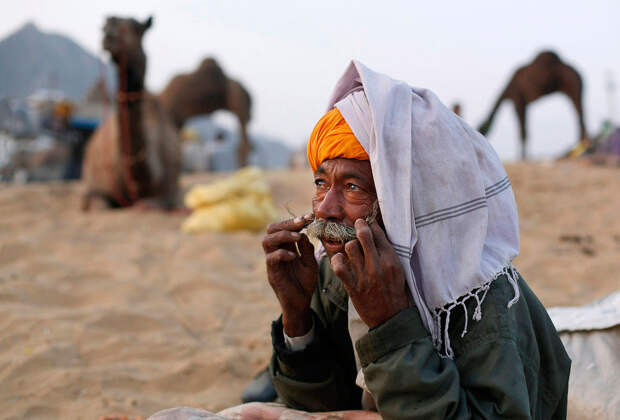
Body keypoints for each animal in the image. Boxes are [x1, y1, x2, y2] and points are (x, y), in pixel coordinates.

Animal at [80, 16, 179, 210]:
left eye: (136, 27)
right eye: (104, 26)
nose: (109, 32)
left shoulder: (170, 191)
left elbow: (157, 202)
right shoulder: (97, 188)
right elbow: (99, 203)